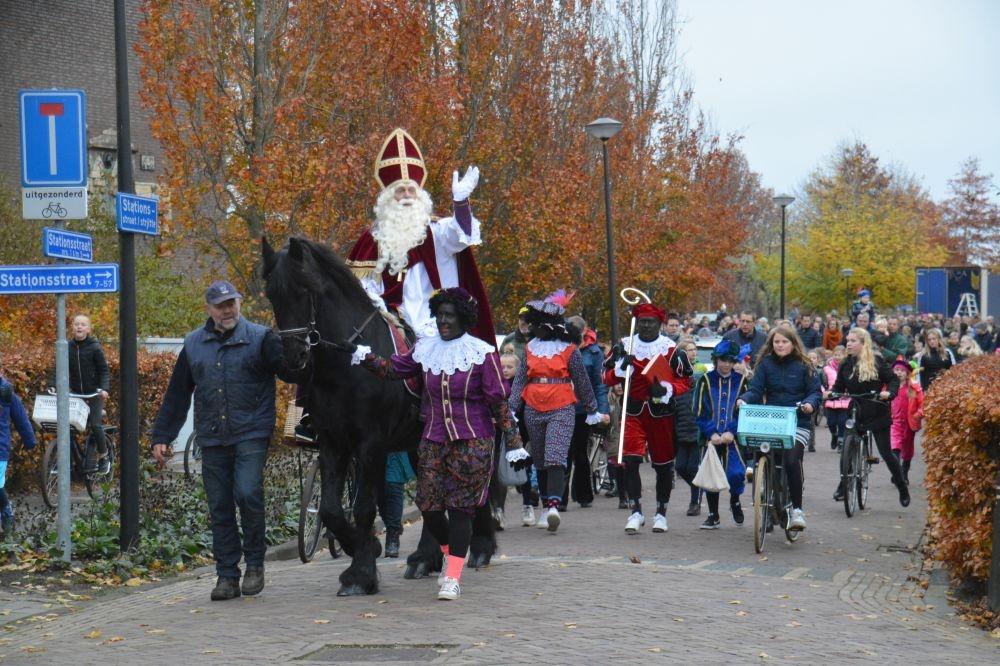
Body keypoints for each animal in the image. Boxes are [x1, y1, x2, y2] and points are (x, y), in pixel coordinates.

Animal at [262, 236, 496, 592]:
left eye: (304, 290)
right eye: (273, 295)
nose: (294, 360)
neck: (343, 368)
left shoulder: (370, 444)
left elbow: (362, 508)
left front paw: (361, 574)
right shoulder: (333, 443)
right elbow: (331, 509)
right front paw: (365, 548)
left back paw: (480, 547)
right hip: (418, 443)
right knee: (430, 495)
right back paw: (425, 558)